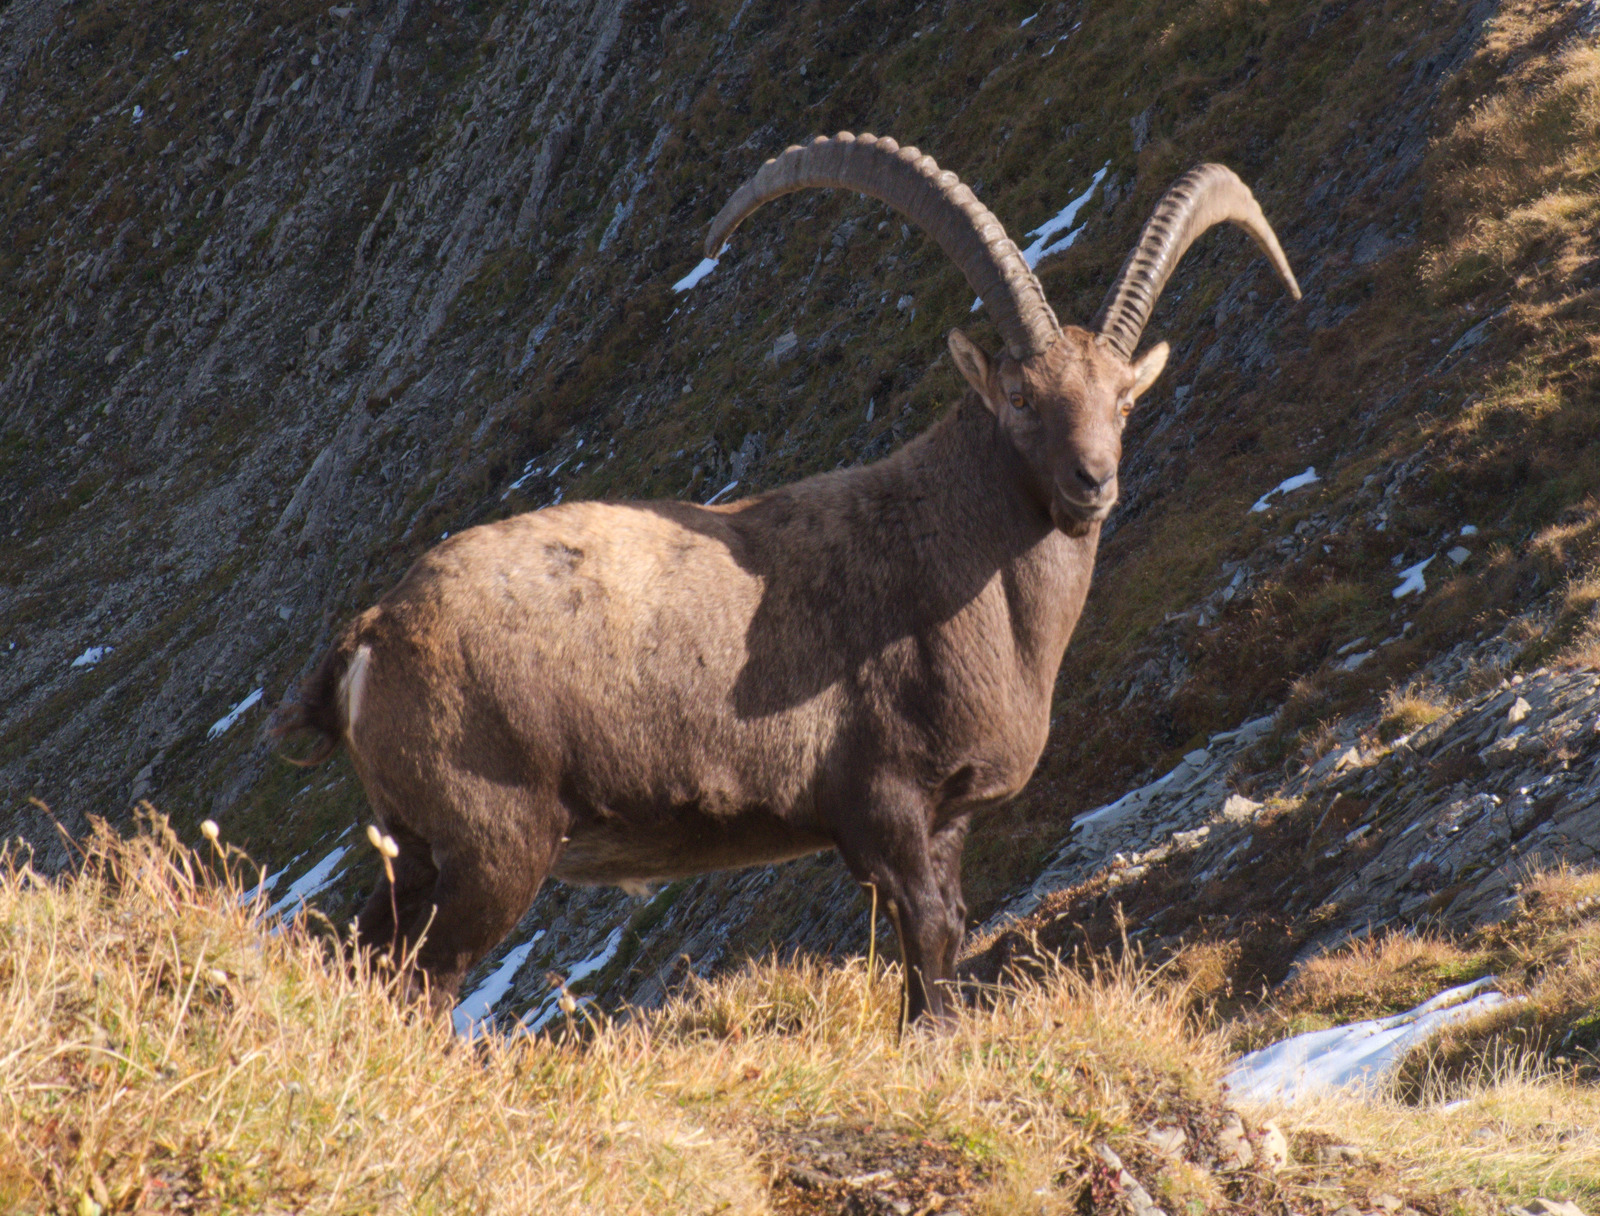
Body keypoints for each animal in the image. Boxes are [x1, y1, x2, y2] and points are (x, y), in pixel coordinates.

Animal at [275, 133, 1299, 1025]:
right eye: (1019, 395)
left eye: (1122, 399)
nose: (1093, 482)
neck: (962, 569)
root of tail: (372, 631)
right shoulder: (882, 799)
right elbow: (928, 932)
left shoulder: (947, 815)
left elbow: (946, 934)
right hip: (491, 842)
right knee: (425, 976)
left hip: (415, 846)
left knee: (369, 950)